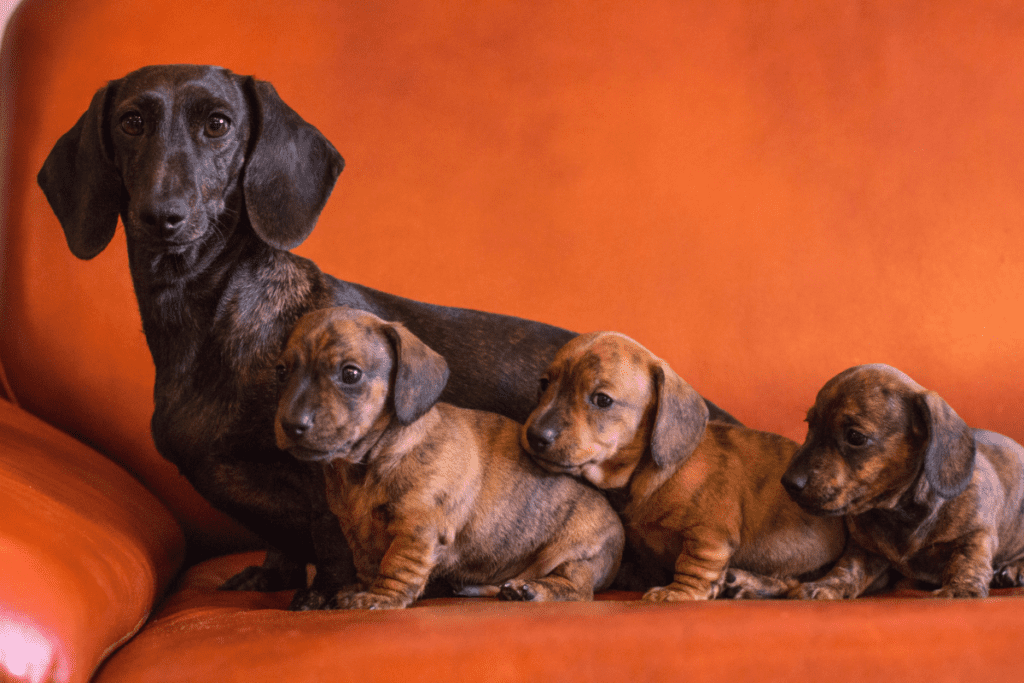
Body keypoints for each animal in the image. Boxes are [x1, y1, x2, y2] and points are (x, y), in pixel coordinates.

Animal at [274, 305, 622, 610]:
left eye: (350, 374)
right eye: (281, 371)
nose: (291, 425)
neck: (371, 461)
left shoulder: (417, 530)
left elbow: (395, 566)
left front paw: (380, 598)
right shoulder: (355, 532)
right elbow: (367, 564)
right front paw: (358, 589)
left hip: (575, 557)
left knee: (577, 588)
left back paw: (532, 590)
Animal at [524, 333, 843, 602]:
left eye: (602, 400)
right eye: (544, 383)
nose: (535, 436)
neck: (648, 475)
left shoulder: (709, 536)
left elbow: (693, 566)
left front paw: (677, 592)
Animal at [778, 362, 1024, 598]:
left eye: (855, 437)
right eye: (809, 424)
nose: (788, 482)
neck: (898, 512)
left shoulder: (977, 532)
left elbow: (967, 559)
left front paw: (961, 587)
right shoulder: (864, 548)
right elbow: (848, 568)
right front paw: (826, 585)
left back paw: (1014, 570)